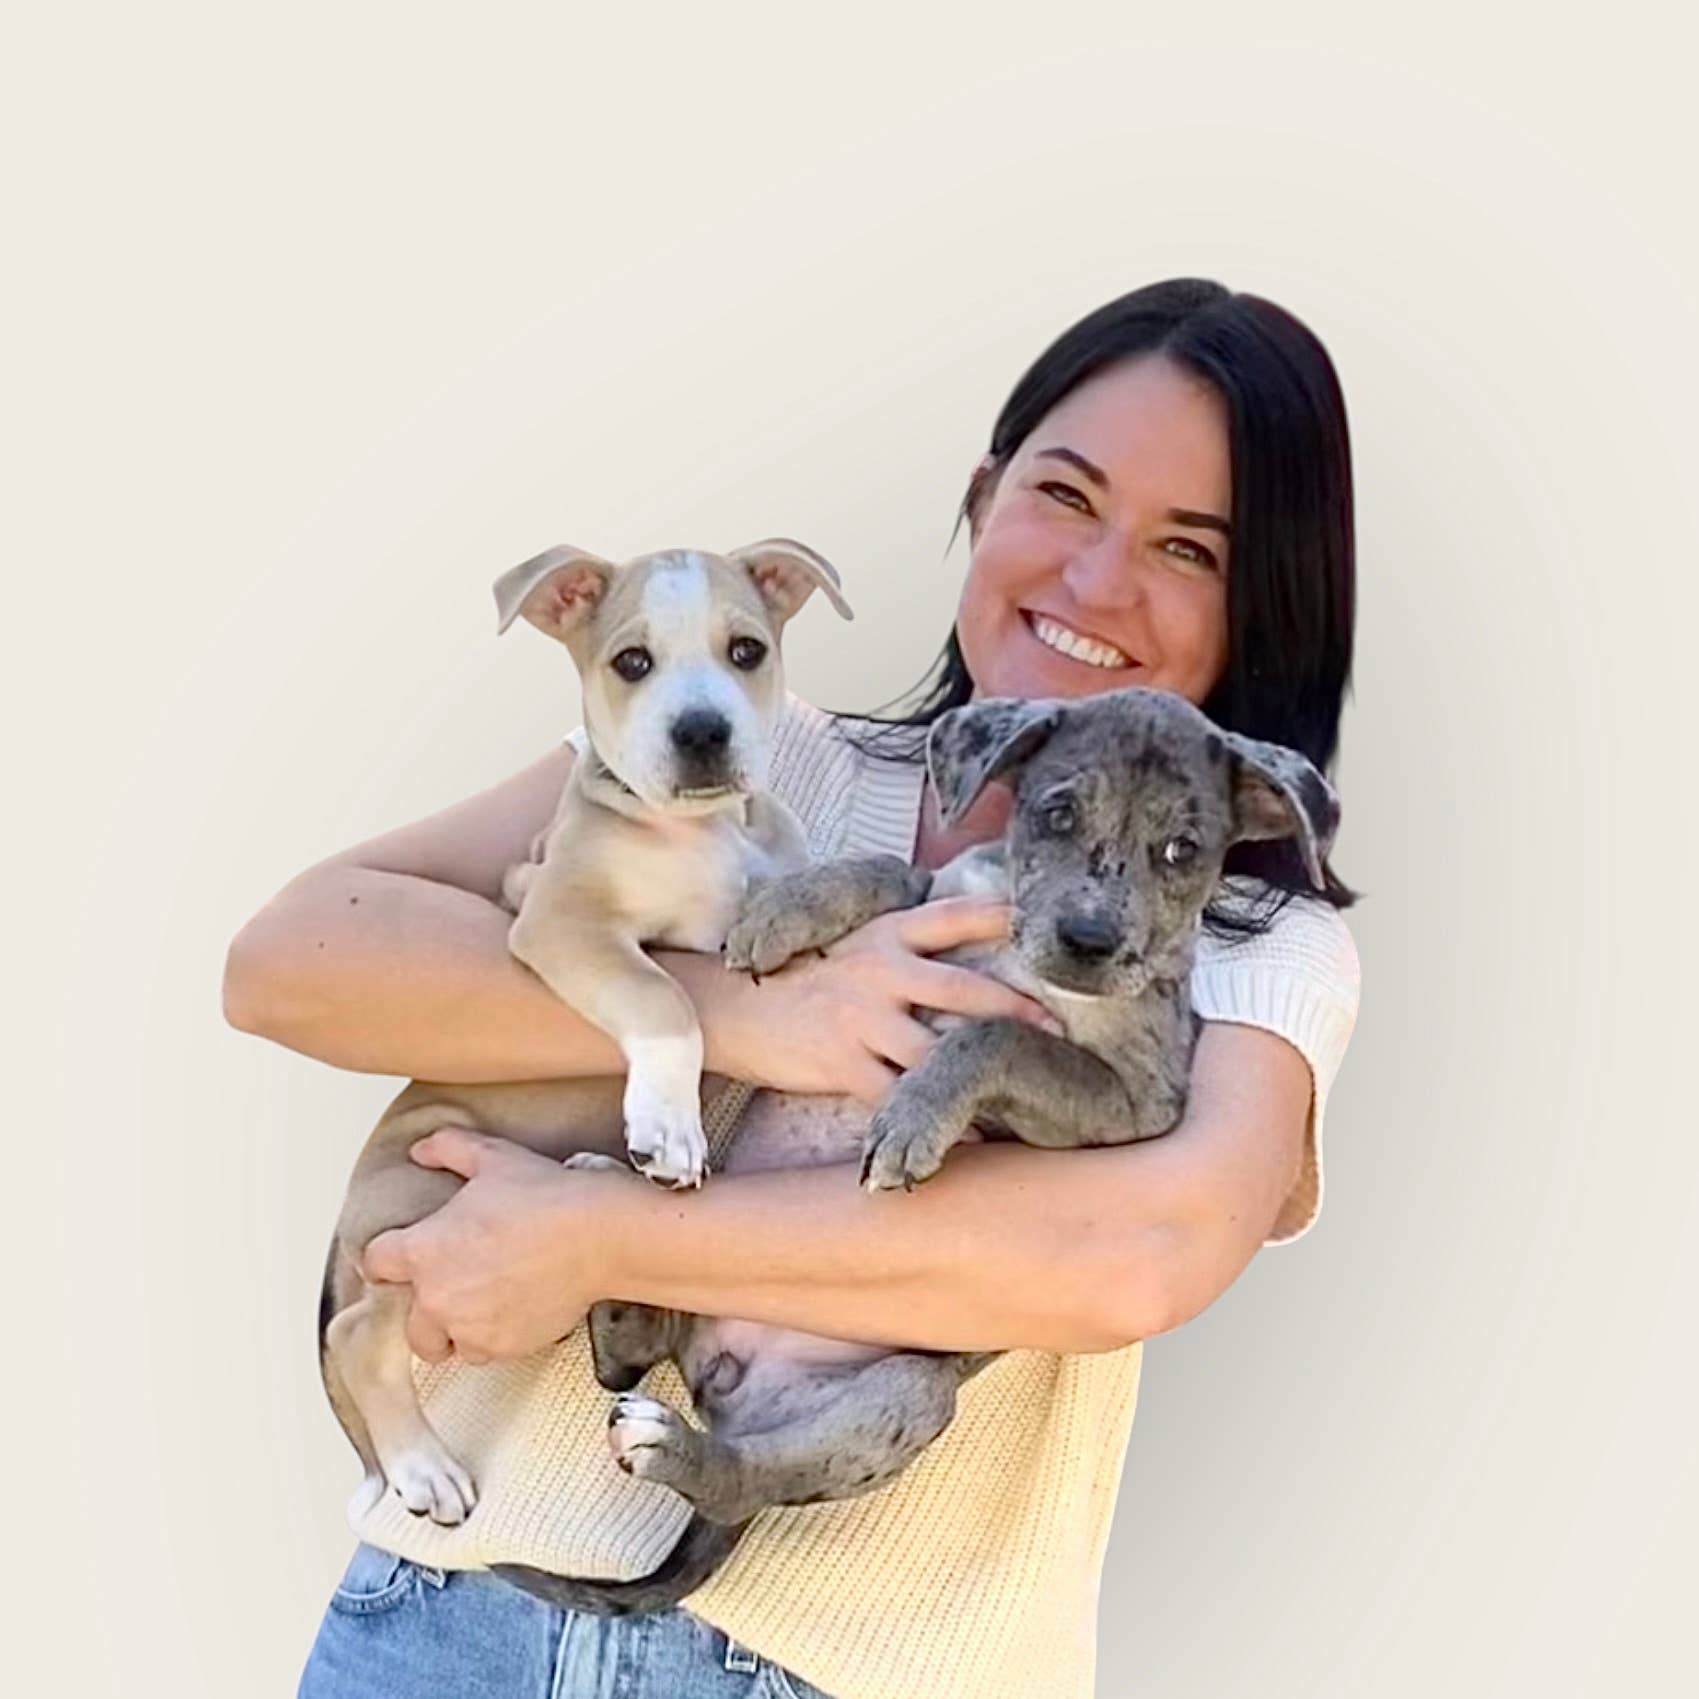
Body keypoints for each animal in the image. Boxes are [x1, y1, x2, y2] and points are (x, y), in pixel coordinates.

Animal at [320, 538, 852, 1528]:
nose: (702, 732)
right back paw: (420, 1466)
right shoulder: (560, 919)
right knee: (355, 1331)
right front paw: (668, 1130)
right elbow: (665, 998)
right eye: (631, 662)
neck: (708, 830)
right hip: (424, 1195)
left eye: (747, 651)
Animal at [490, 684, 1341, 1614]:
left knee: (743, 1474)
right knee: (632, 1358)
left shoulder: (1137, 1102)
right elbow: (892, 873)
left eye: (1181, 849)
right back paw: (616, 1287)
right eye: (1056, 811)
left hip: (905, 1397)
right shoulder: (942, 891)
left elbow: (998, 1033)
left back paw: (670, 1442)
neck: (1018, 948)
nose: (1087, 941)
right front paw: (785, 908)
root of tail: (725, 1384)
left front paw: (912, 1117)